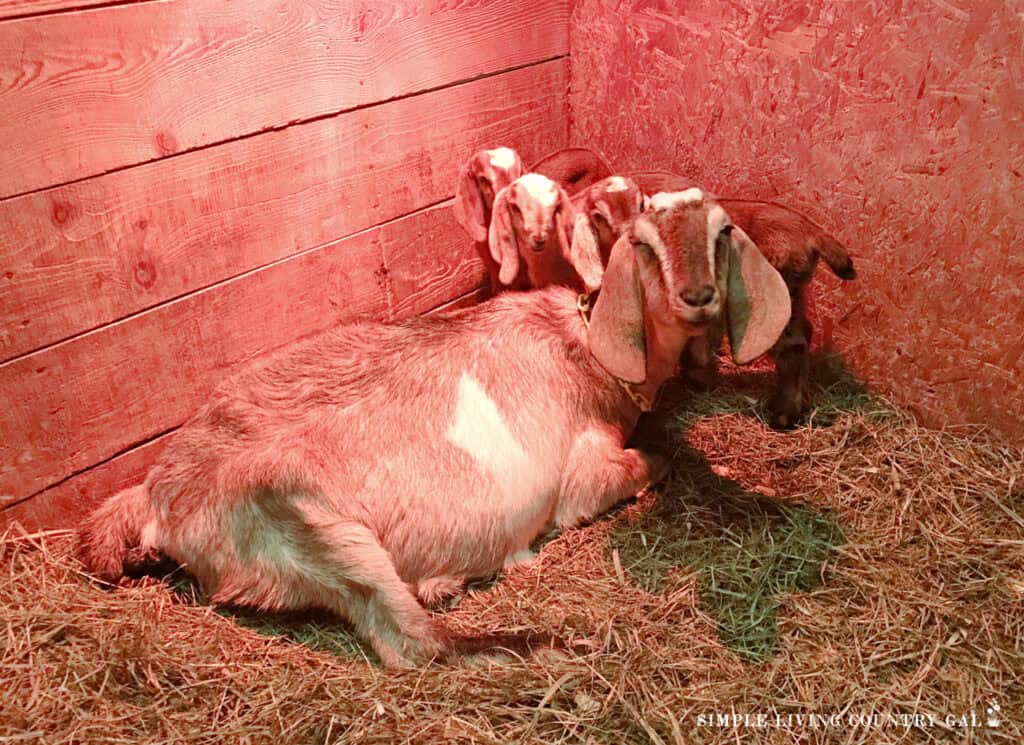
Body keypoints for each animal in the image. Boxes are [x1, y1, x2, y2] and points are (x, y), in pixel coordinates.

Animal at [76, 188, 791, 667]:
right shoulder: (584, 475)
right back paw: (534, 637)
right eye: (642, 243)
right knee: (413, 642)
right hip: (319, 530)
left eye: (722, 232)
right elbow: (655, 458)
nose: (698, 296)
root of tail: (162, 493)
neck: (584, 342)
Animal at [629, 171, 857, 429]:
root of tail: (811, 231)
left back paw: (783, 415)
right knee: (803, 335)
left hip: (772, 302)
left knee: (791, 347)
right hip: (794, 296)